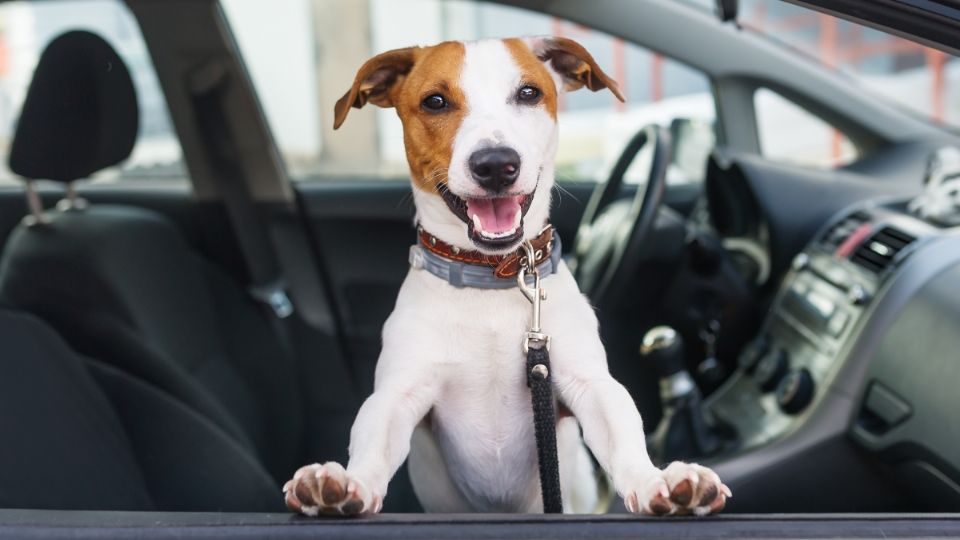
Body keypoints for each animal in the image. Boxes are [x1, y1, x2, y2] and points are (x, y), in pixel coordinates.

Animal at [282, 35, 732, 516]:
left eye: (529, 93)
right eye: (435, 101)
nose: (496, 164)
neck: (491, 277)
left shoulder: (587, 383)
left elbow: (623, 431)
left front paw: (656, 481)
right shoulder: (398, 393)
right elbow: (372, 439)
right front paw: (346, 485)